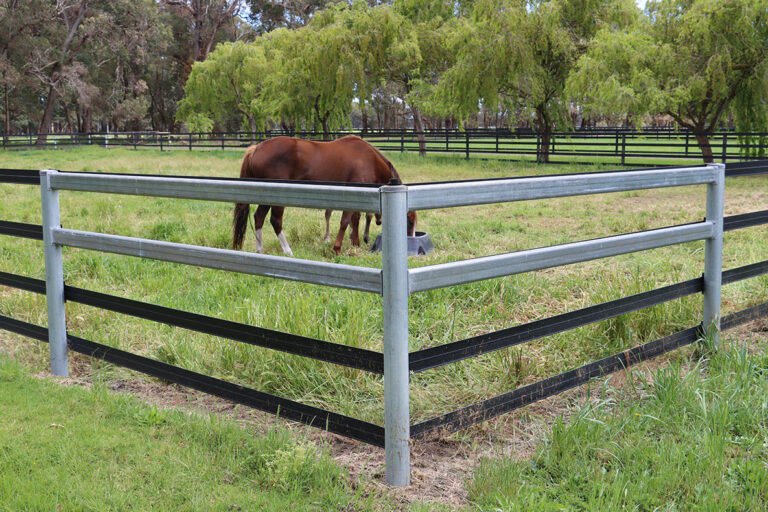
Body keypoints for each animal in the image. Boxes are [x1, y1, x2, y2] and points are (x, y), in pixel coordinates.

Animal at [233, 135, 416, 255]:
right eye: (409, 221)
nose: (410, 241)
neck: (369, 160)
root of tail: (256, 148)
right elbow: (346, 221)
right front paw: (337, 248)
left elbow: (355, 220)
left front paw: (355, 243)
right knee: (275, 220)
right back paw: (287, 250)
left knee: (259, 218)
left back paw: (260, 249)